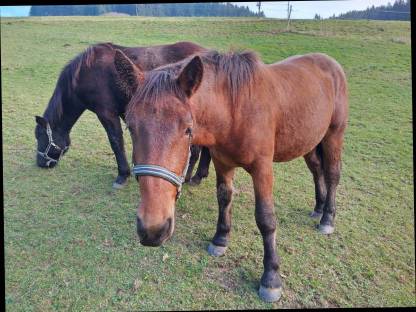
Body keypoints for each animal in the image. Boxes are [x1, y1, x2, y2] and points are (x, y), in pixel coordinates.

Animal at [34, 41, 211, 188]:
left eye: (40, 137)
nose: (40, 163)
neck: (87, 73)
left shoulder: (107, 114)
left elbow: (116, 142)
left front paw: (123, 175)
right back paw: (198, 176)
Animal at [117, 49, 348, 302]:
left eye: (188, 129)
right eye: (130, 127)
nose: (152, 230)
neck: (236, 112)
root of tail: (330, 62)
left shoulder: (262, 169)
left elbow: (266, 219)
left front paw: (271, 278)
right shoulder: (223, 164)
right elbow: (224, 199)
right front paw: (220, 239)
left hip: (333, 136)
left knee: (332, 174)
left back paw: (327, 218)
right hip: (308, 142)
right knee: (317, 170)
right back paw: (318, 208)